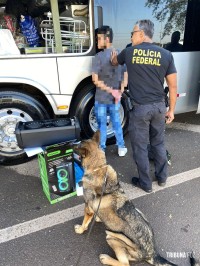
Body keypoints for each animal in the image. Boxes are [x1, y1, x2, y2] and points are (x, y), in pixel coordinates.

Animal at [74, 131, 199, 266]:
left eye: (78, 146)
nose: (70, 145)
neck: (98, 167)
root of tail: (152, 253)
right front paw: (97, 219)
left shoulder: (87, 208)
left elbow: (85, 222)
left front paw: (80, 229)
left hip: (112, 237)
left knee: (124, 263)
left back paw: (106, 258)